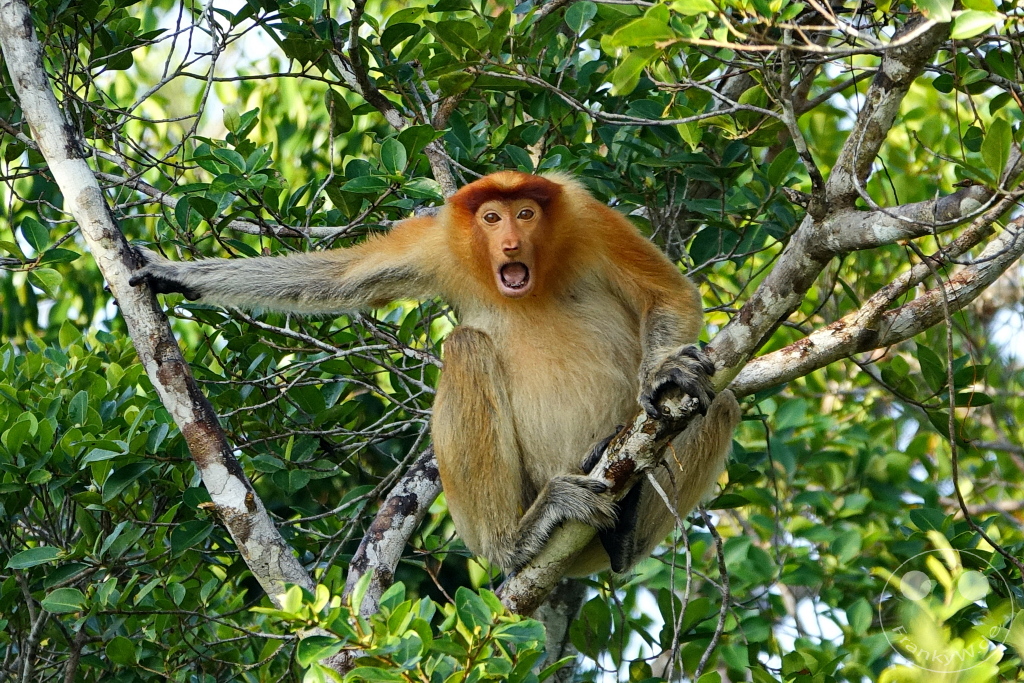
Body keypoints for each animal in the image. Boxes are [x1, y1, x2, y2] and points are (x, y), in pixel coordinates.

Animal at [130, 171, 741, 576]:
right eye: (491, 217)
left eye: (526, 213)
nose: (510, 243)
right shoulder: (441, 242)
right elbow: (337, 278)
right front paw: (173, 275)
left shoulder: (589, 219)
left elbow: (666, 292)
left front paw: (664, 371)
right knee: (467, 346)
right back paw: (516, 541)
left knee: (722, 401)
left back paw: (624, 537)